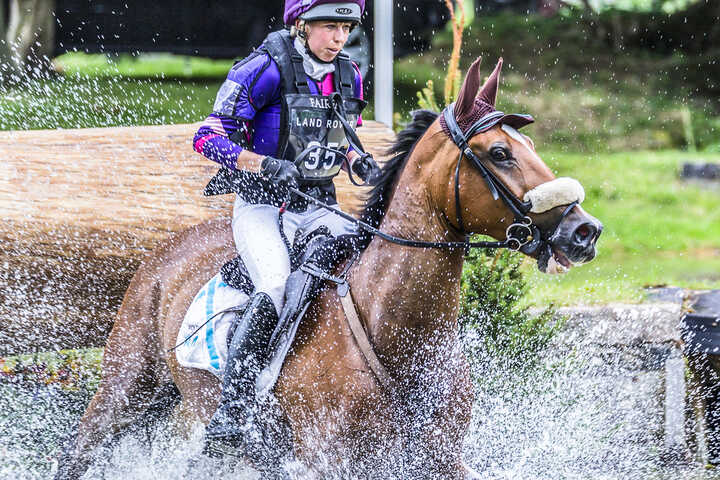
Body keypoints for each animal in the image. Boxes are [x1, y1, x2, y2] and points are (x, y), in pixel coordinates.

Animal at [54, 57, 600, 480]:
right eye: (500, 153)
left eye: (532, 149)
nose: (584, 231)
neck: (396, 329)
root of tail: (164, 252)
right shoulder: (326, 460)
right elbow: (213, 130)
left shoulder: (440, 458)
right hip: (124, 389)